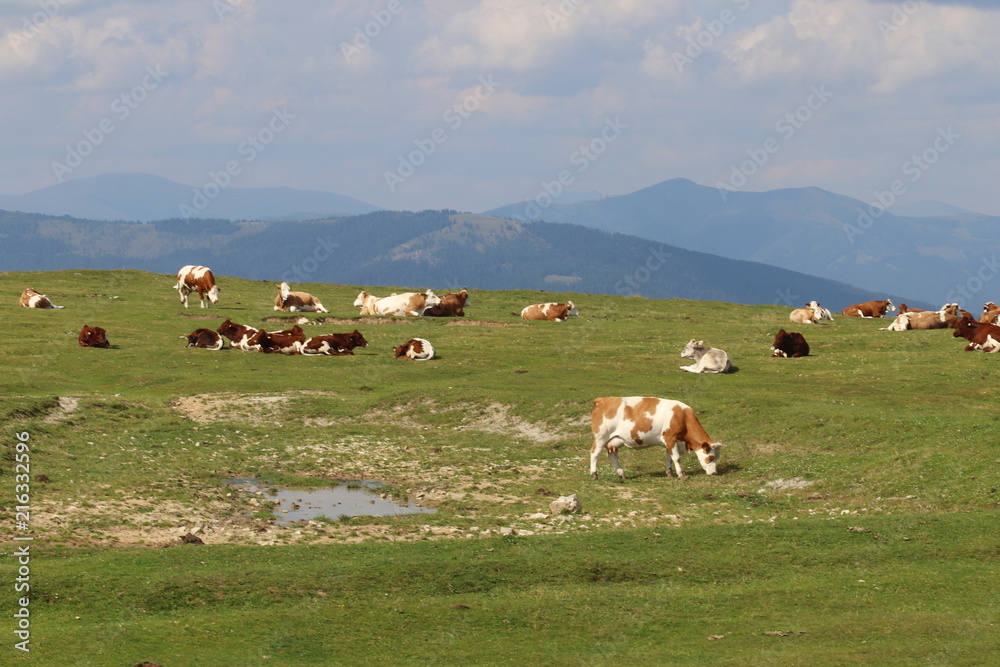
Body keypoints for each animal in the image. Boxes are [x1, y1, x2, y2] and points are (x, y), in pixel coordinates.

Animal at [589, 397, 723, 480]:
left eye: (717, 457)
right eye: (711, 457)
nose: (714, 473)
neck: (683, 417)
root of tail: (603, 400)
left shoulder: (670, 442)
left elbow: (669, 457)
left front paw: (670, 473)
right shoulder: (670, 437)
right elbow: (676, 458)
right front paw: (681, 475)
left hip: (614, 442)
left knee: (613, 456)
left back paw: (622, 474)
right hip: (601, 437)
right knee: (594, 453)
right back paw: (594, 474)